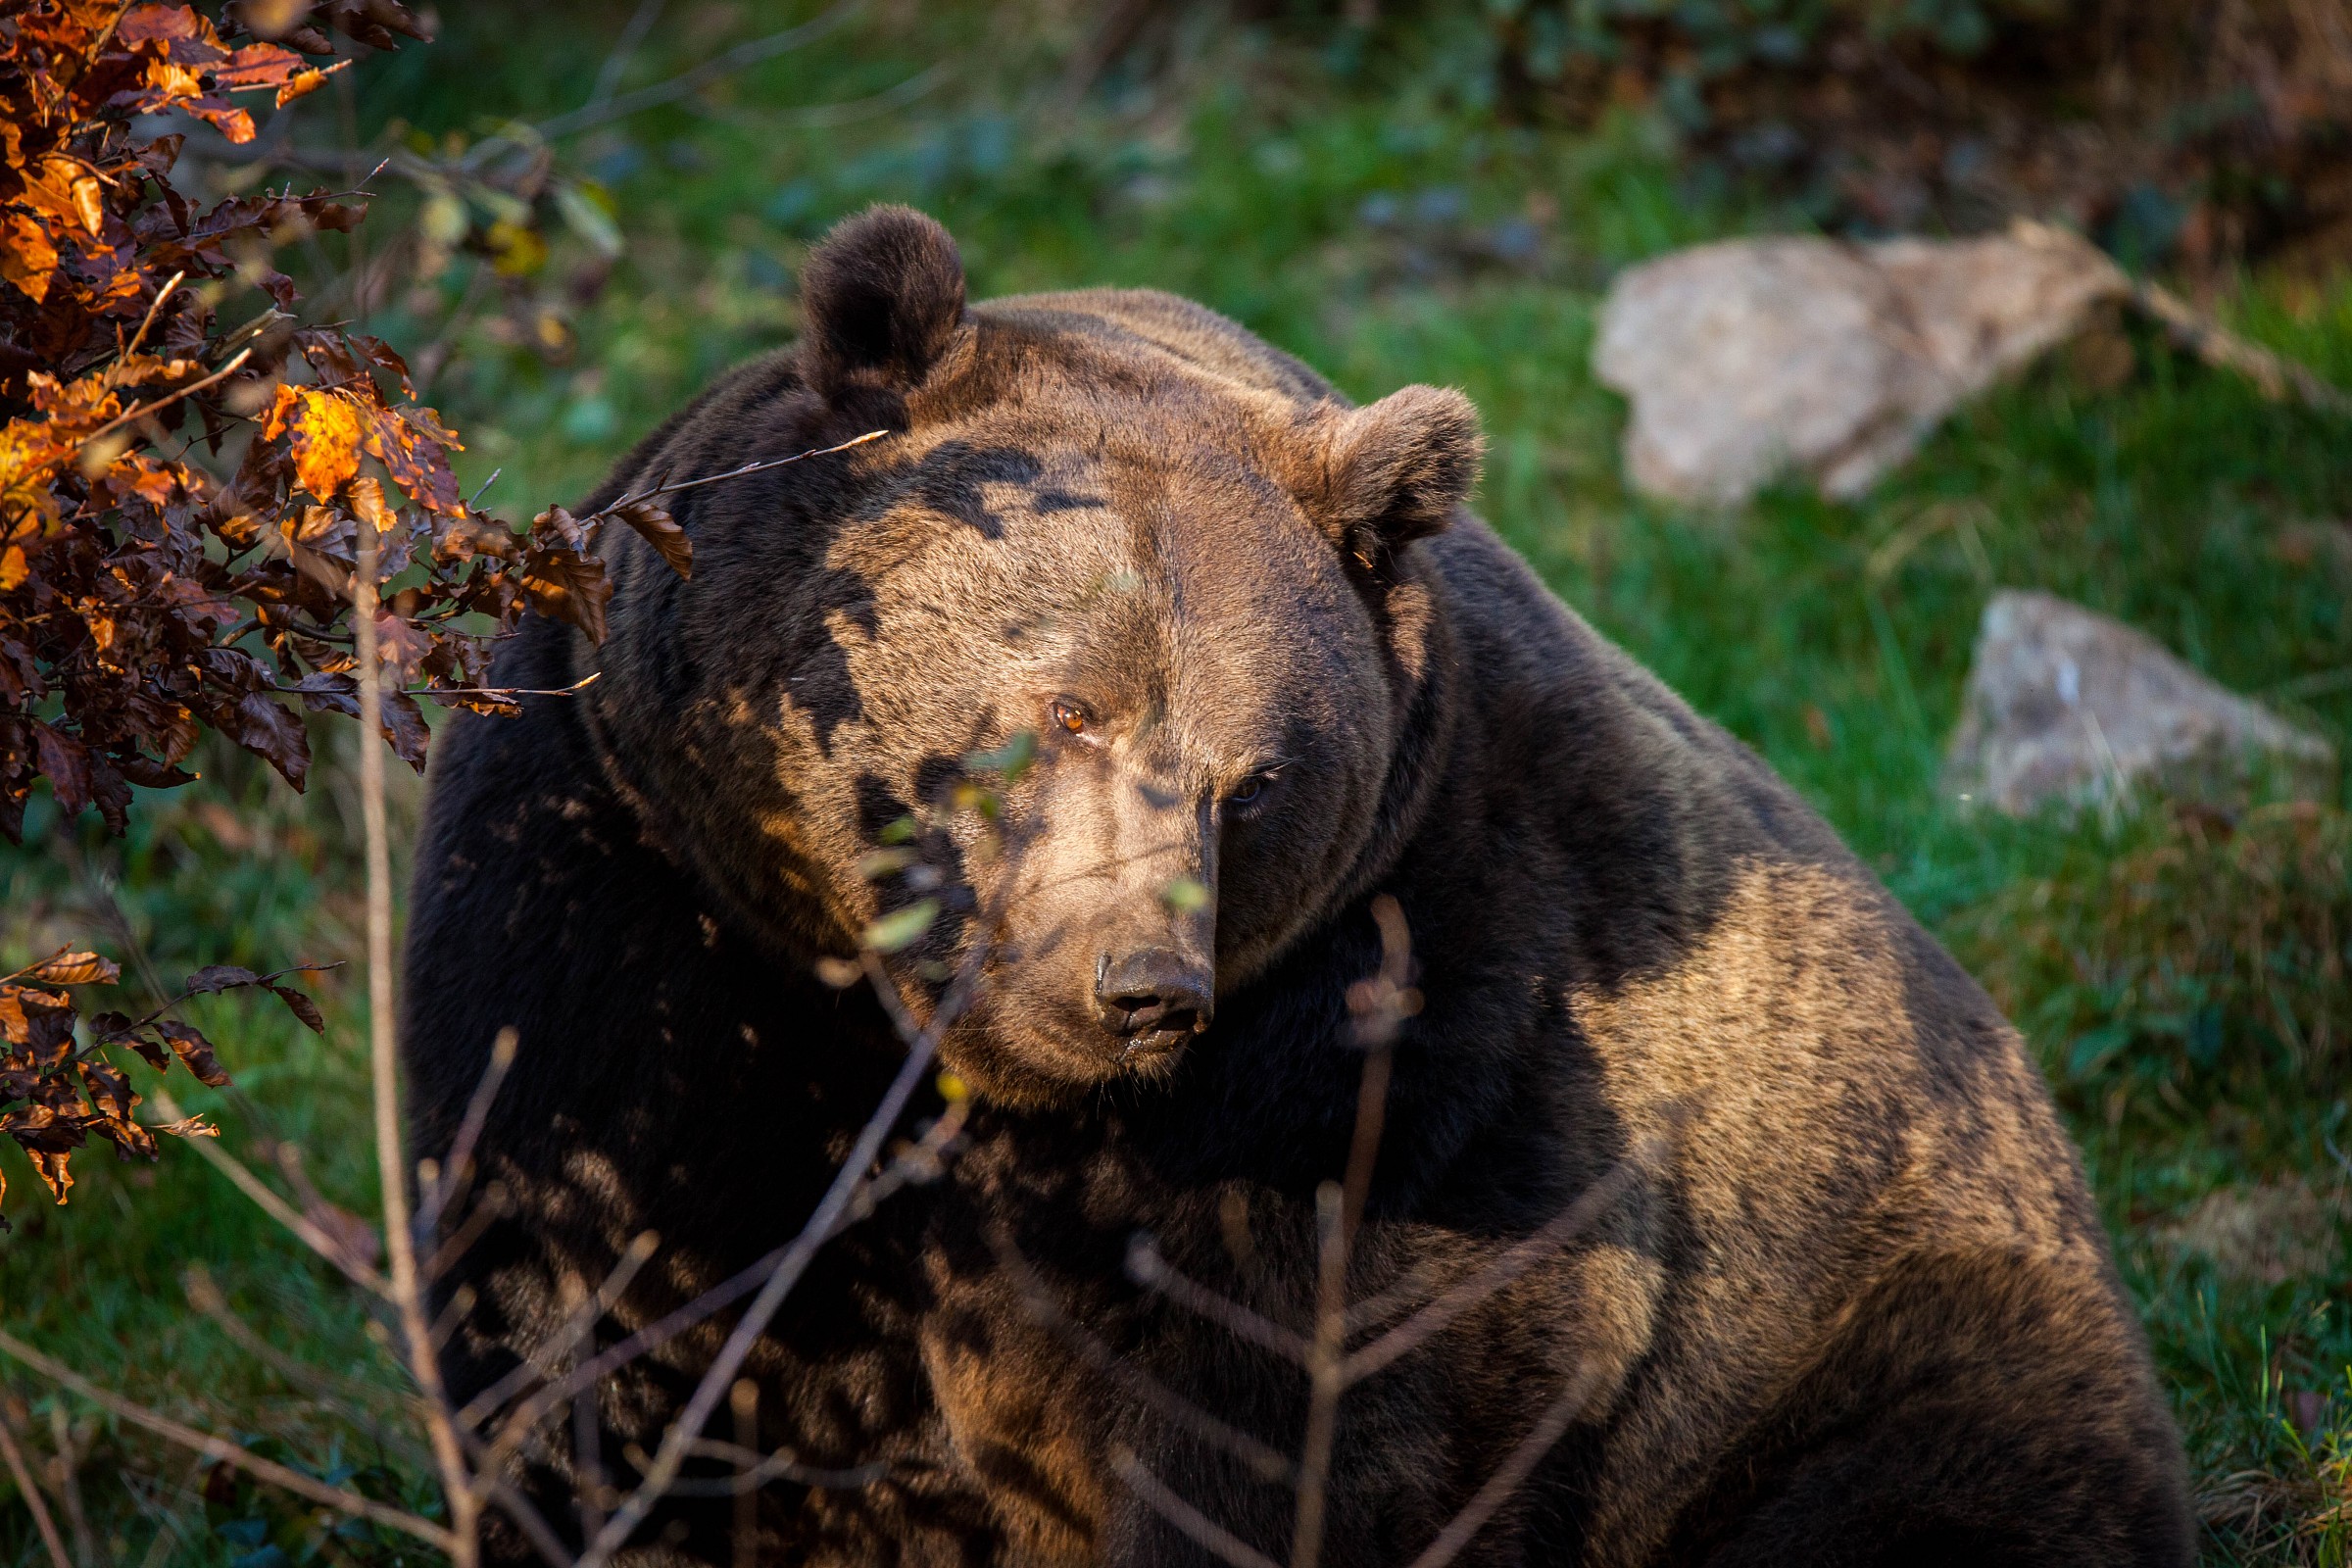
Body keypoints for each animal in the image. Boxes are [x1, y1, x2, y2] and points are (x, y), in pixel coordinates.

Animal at [402, 205, 2194, 1567]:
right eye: (1069, 707)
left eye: (1251, 778)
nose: (1140, 985)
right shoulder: (632, 900)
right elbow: (591, 1329)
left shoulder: (1404, 1035)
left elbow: (1293, 1423)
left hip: (1882, 1340)